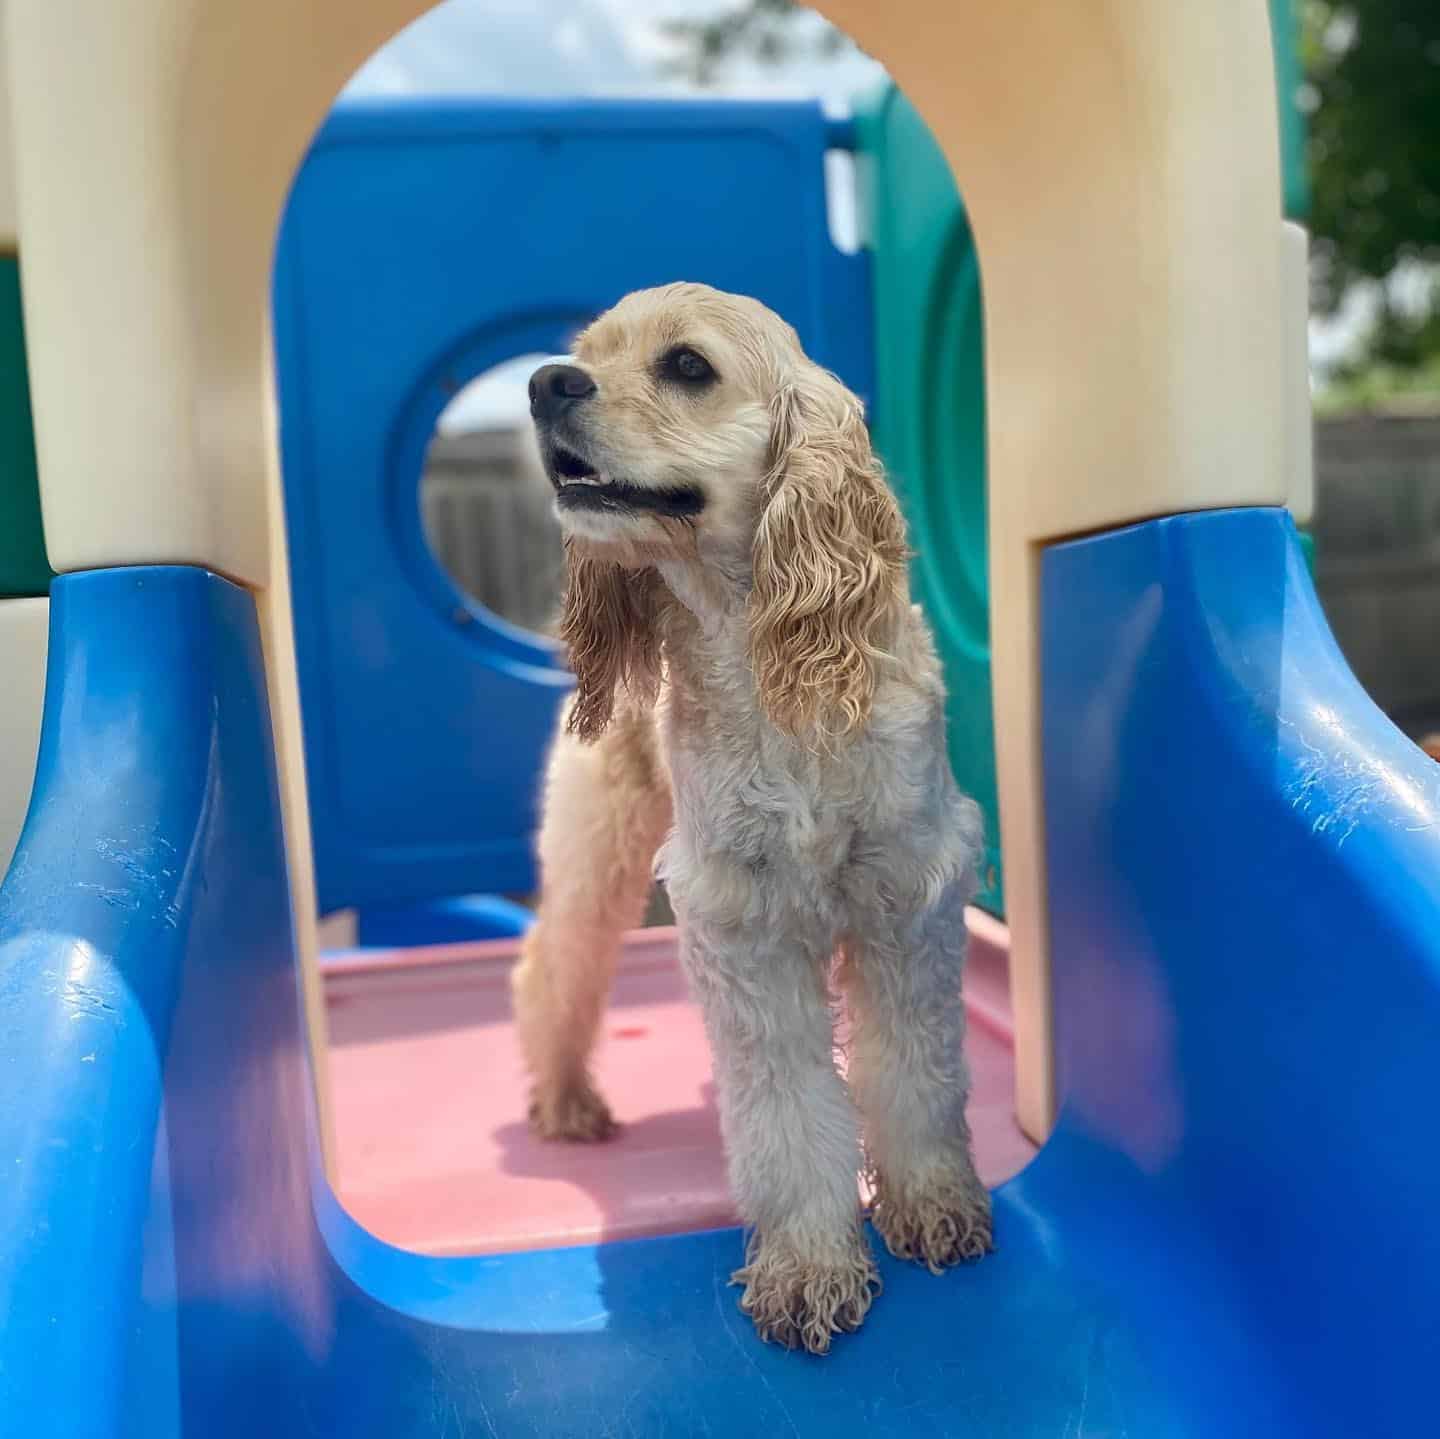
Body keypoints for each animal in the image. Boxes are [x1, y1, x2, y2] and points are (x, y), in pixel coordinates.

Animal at [512, 280, 996, 1348]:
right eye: (588, 354)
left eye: (687, 366)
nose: (543, 383)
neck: (768, 656)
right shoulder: (746, 926)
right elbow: (785, 1111)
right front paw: (810, 1267)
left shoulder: (909, 896)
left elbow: (918, 1075)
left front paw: (934, 1205)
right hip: (596, 851)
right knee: (548, 968)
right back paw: (565, 1101)